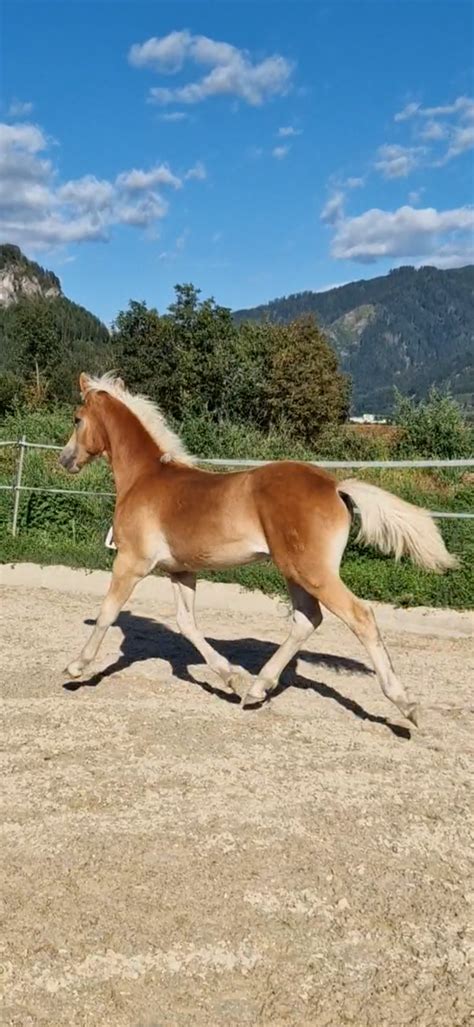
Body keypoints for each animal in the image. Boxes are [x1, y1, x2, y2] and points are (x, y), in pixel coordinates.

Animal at [59, 373, 459, 727]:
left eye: (77, 418)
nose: (66, 460)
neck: (145, 480)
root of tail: (333, 486)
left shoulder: (132, 562)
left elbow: (108, 611)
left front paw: (75, 668)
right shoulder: (181, 570)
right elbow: (187, 625)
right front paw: (232, 677)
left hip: (312, 572)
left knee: (360, 616)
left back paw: (405, 705)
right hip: (294, 571)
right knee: (306, 620)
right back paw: (256, 688)